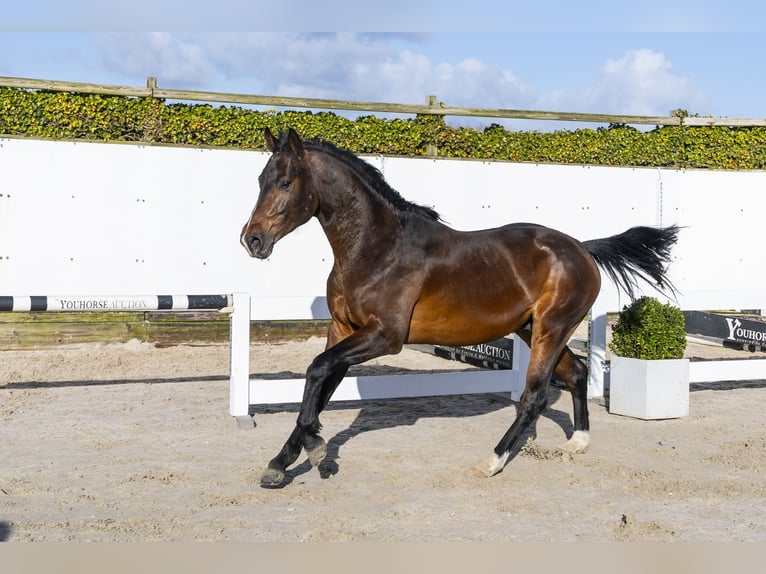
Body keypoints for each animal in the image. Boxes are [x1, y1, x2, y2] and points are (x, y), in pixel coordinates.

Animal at [241, 128, 678, 487]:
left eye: (285, 182)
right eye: (260, 180)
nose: (252, 240)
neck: (376, 247)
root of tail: (583, 249)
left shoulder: (384, 336)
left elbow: (316, 372)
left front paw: (315, 450)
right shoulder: (343, 329)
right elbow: (320, 384)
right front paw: (280, 463)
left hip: (551, 329)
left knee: (534, 397)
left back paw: (492, 462)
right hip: (533, 328)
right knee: (576, 373)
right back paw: (577, 443)